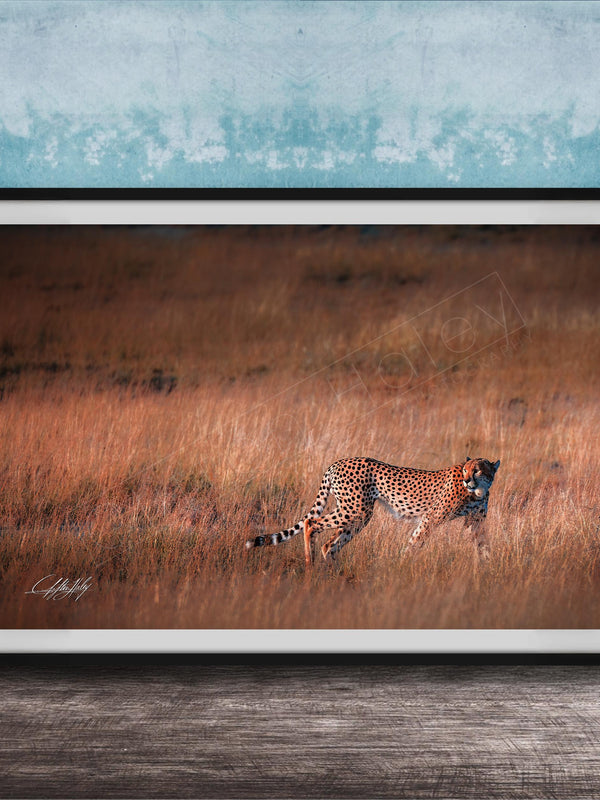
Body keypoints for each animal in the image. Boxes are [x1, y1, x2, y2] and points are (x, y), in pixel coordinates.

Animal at [246, 456, 500, 566]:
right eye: (465, 470)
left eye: (477, 470)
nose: (467, 480)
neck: (478, 491)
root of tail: (337, 462)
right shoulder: (430, 518)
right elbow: (415, 542)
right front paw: (401, 566)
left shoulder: (476, 522)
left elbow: (484, 546)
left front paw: (489, 570)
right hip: (355, 510)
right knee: (311, 524)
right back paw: (310, 564)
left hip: (357, 516)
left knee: (330, 544)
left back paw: (333, 575)